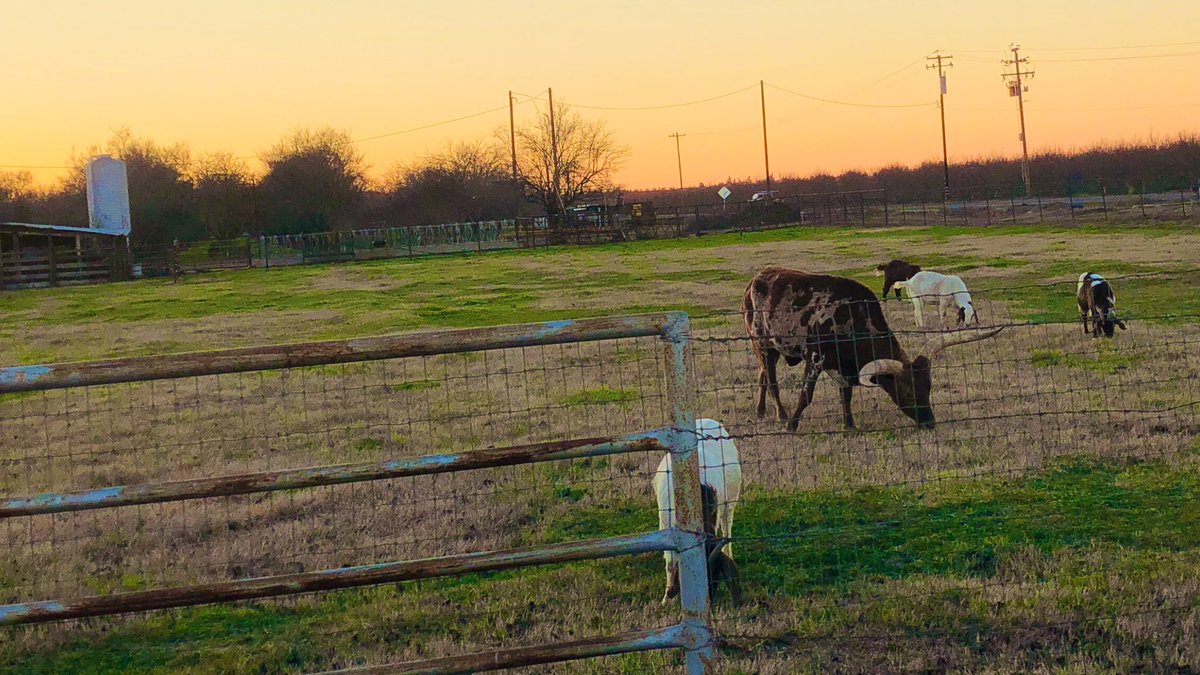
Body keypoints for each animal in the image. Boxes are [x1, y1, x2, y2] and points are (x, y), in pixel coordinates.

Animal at [654, 418, 742, 604]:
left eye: (717, 574)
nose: (710, 601)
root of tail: (707, 419)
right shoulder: (666, 524)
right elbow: (670, 562)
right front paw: (666, 599)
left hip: (730, 503)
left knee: (727, 528)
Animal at [742, 267, 1001, 430]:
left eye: (928, 388)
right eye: (908, 393)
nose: (929, 423)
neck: (850, 315)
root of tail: (755, 279)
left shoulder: (844, 366)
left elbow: (845, 394)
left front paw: (849, 425)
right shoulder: (816, 358)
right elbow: (806, 395)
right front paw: (792, 425)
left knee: (762, 376)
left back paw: (760, 412)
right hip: (762, 344)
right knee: (771, 381)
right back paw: (781, 415)